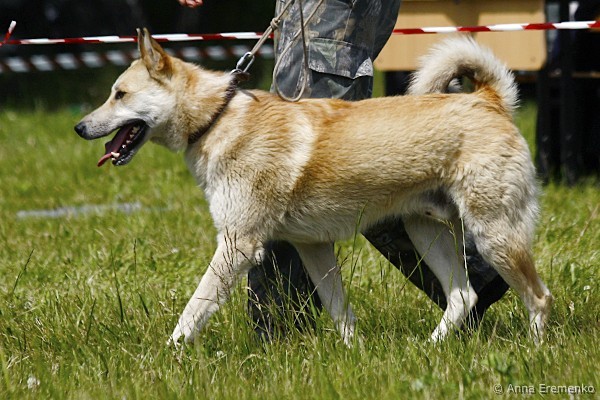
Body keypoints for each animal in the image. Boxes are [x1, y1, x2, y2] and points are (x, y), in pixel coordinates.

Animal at [75, 28, 552, 346]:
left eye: (119, 94)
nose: (79, 128)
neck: (217, 118)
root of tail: (488, 99)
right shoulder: (312, 246)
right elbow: (341, 311)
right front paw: (355, 356)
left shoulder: (237, 244)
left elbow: (193, 309)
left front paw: (166, 356)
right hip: (424, 230)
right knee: (461, 296)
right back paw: (430, 350)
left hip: (494, 234)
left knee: (538, 298)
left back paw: (535, 351)